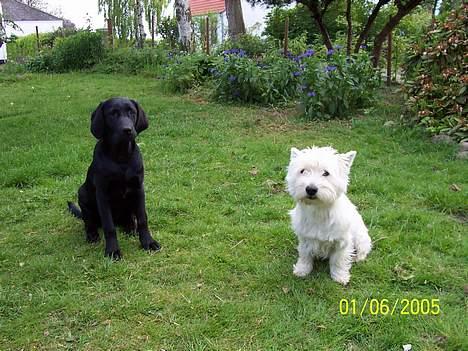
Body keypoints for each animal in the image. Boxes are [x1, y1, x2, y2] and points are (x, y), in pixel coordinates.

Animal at [66, 97, 160, 260]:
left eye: (132, 112)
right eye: (112, 114)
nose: (127, 130)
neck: (121, 158)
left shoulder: (139, 189)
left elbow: (143, 219)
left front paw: (148, 242)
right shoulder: (103, 195)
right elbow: (109, 227)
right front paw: (112, 251)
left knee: (130, 218)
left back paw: (130, 227)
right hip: (82, 193)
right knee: (89, 221)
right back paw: (92, 235)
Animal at [286, 146, 372, 286]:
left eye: (326, 173)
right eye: (302, 171)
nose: (311, 189)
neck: (319, 209)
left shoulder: (342, 242)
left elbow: (338, 260)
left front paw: (340, 276)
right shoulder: (305, 237)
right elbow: (305, 255)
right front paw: (302, 270)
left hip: (361, 237)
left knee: (363, 249)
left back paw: (357, 257)